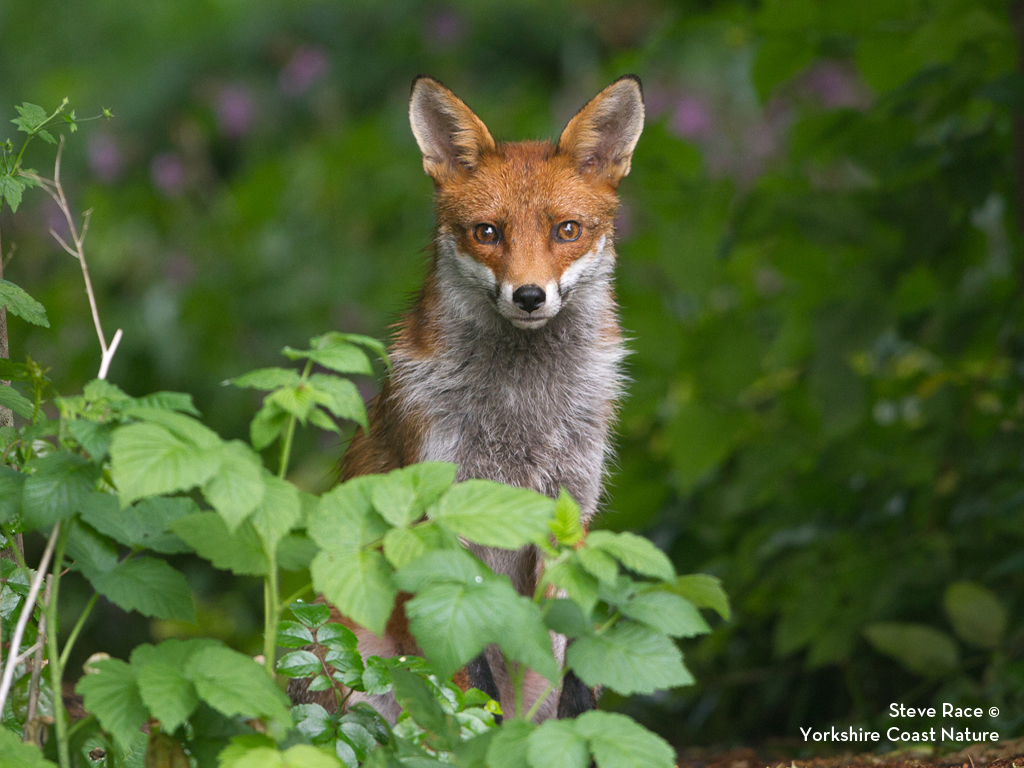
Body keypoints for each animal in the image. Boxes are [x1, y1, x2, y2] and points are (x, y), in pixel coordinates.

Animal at [289, 74, 645, 722]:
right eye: (487, 233)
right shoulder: (437, 516)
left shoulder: (568, 511)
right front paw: (478, 732)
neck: (523, 410)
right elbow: (469, 679)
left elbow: (566, 662)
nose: (529, 295)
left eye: (566, 230)